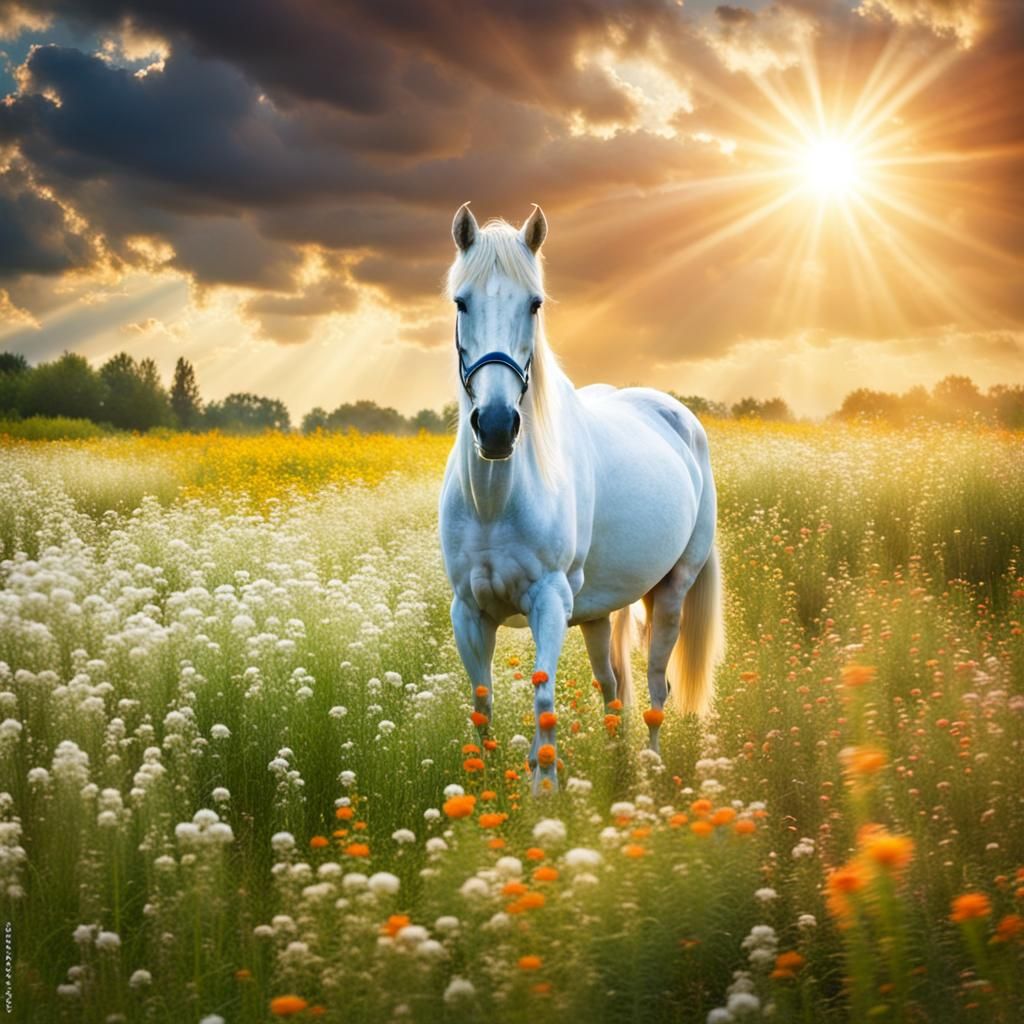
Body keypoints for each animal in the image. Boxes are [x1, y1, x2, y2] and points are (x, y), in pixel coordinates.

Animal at [438, 203, 724, 794]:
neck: (496, 501)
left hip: (671, 590)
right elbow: (482, 704)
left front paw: (542, 790)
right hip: (596, 611)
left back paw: (649, 771)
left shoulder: (548, 600)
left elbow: (543, 697)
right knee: (612, 685)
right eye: (461, 301)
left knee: (656, 686)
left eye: (535, 303)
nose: (496, 427)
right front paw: (486, 790)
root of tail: (678, 416)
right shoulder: (468, 610)